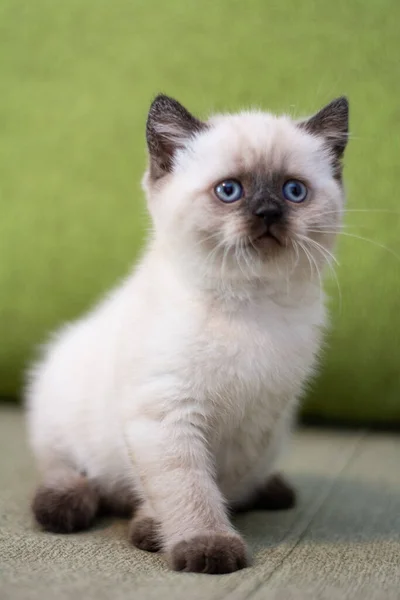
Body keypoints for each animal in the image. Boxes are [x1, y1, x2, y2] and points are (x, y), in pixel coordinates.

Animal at [26, 92, 348, 572]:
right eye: (229, 190)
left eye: (294, 191)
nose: (268, 213)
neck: (248, 304)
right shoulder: (166, 412)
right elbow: (188, 488)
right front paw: (203, 546)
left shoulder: (256, 423)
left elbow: (217, 486)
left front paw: (156, 529)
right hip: (58, 408)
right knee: (67, 470)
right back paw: (63, 506)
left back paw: (271, 490)